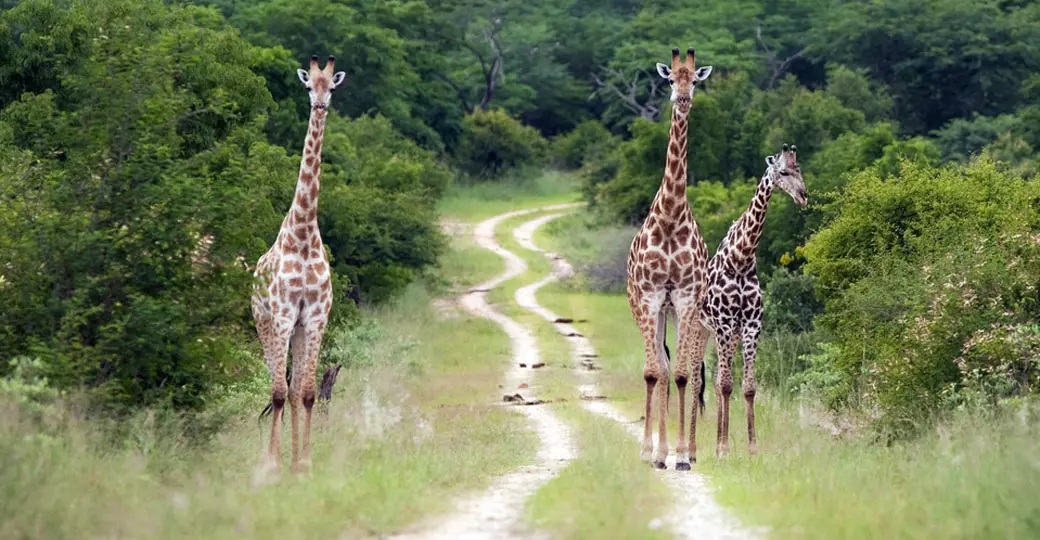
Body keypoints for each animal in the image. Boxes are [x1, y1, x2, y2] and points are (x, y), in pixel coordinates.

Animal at [699, 143, 807, 458]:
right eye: (782, 172)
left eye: (800, 170)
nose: (803, 196)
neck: (741, 259)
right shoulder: (724, 324)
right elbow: (725, 385)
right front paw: (723, 448)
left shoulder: (750, 326)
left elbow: (747, 387)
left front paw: (751, 447)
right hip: (701, 330)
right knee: (701, 378)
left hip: (725, 335)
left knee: (714, 380)